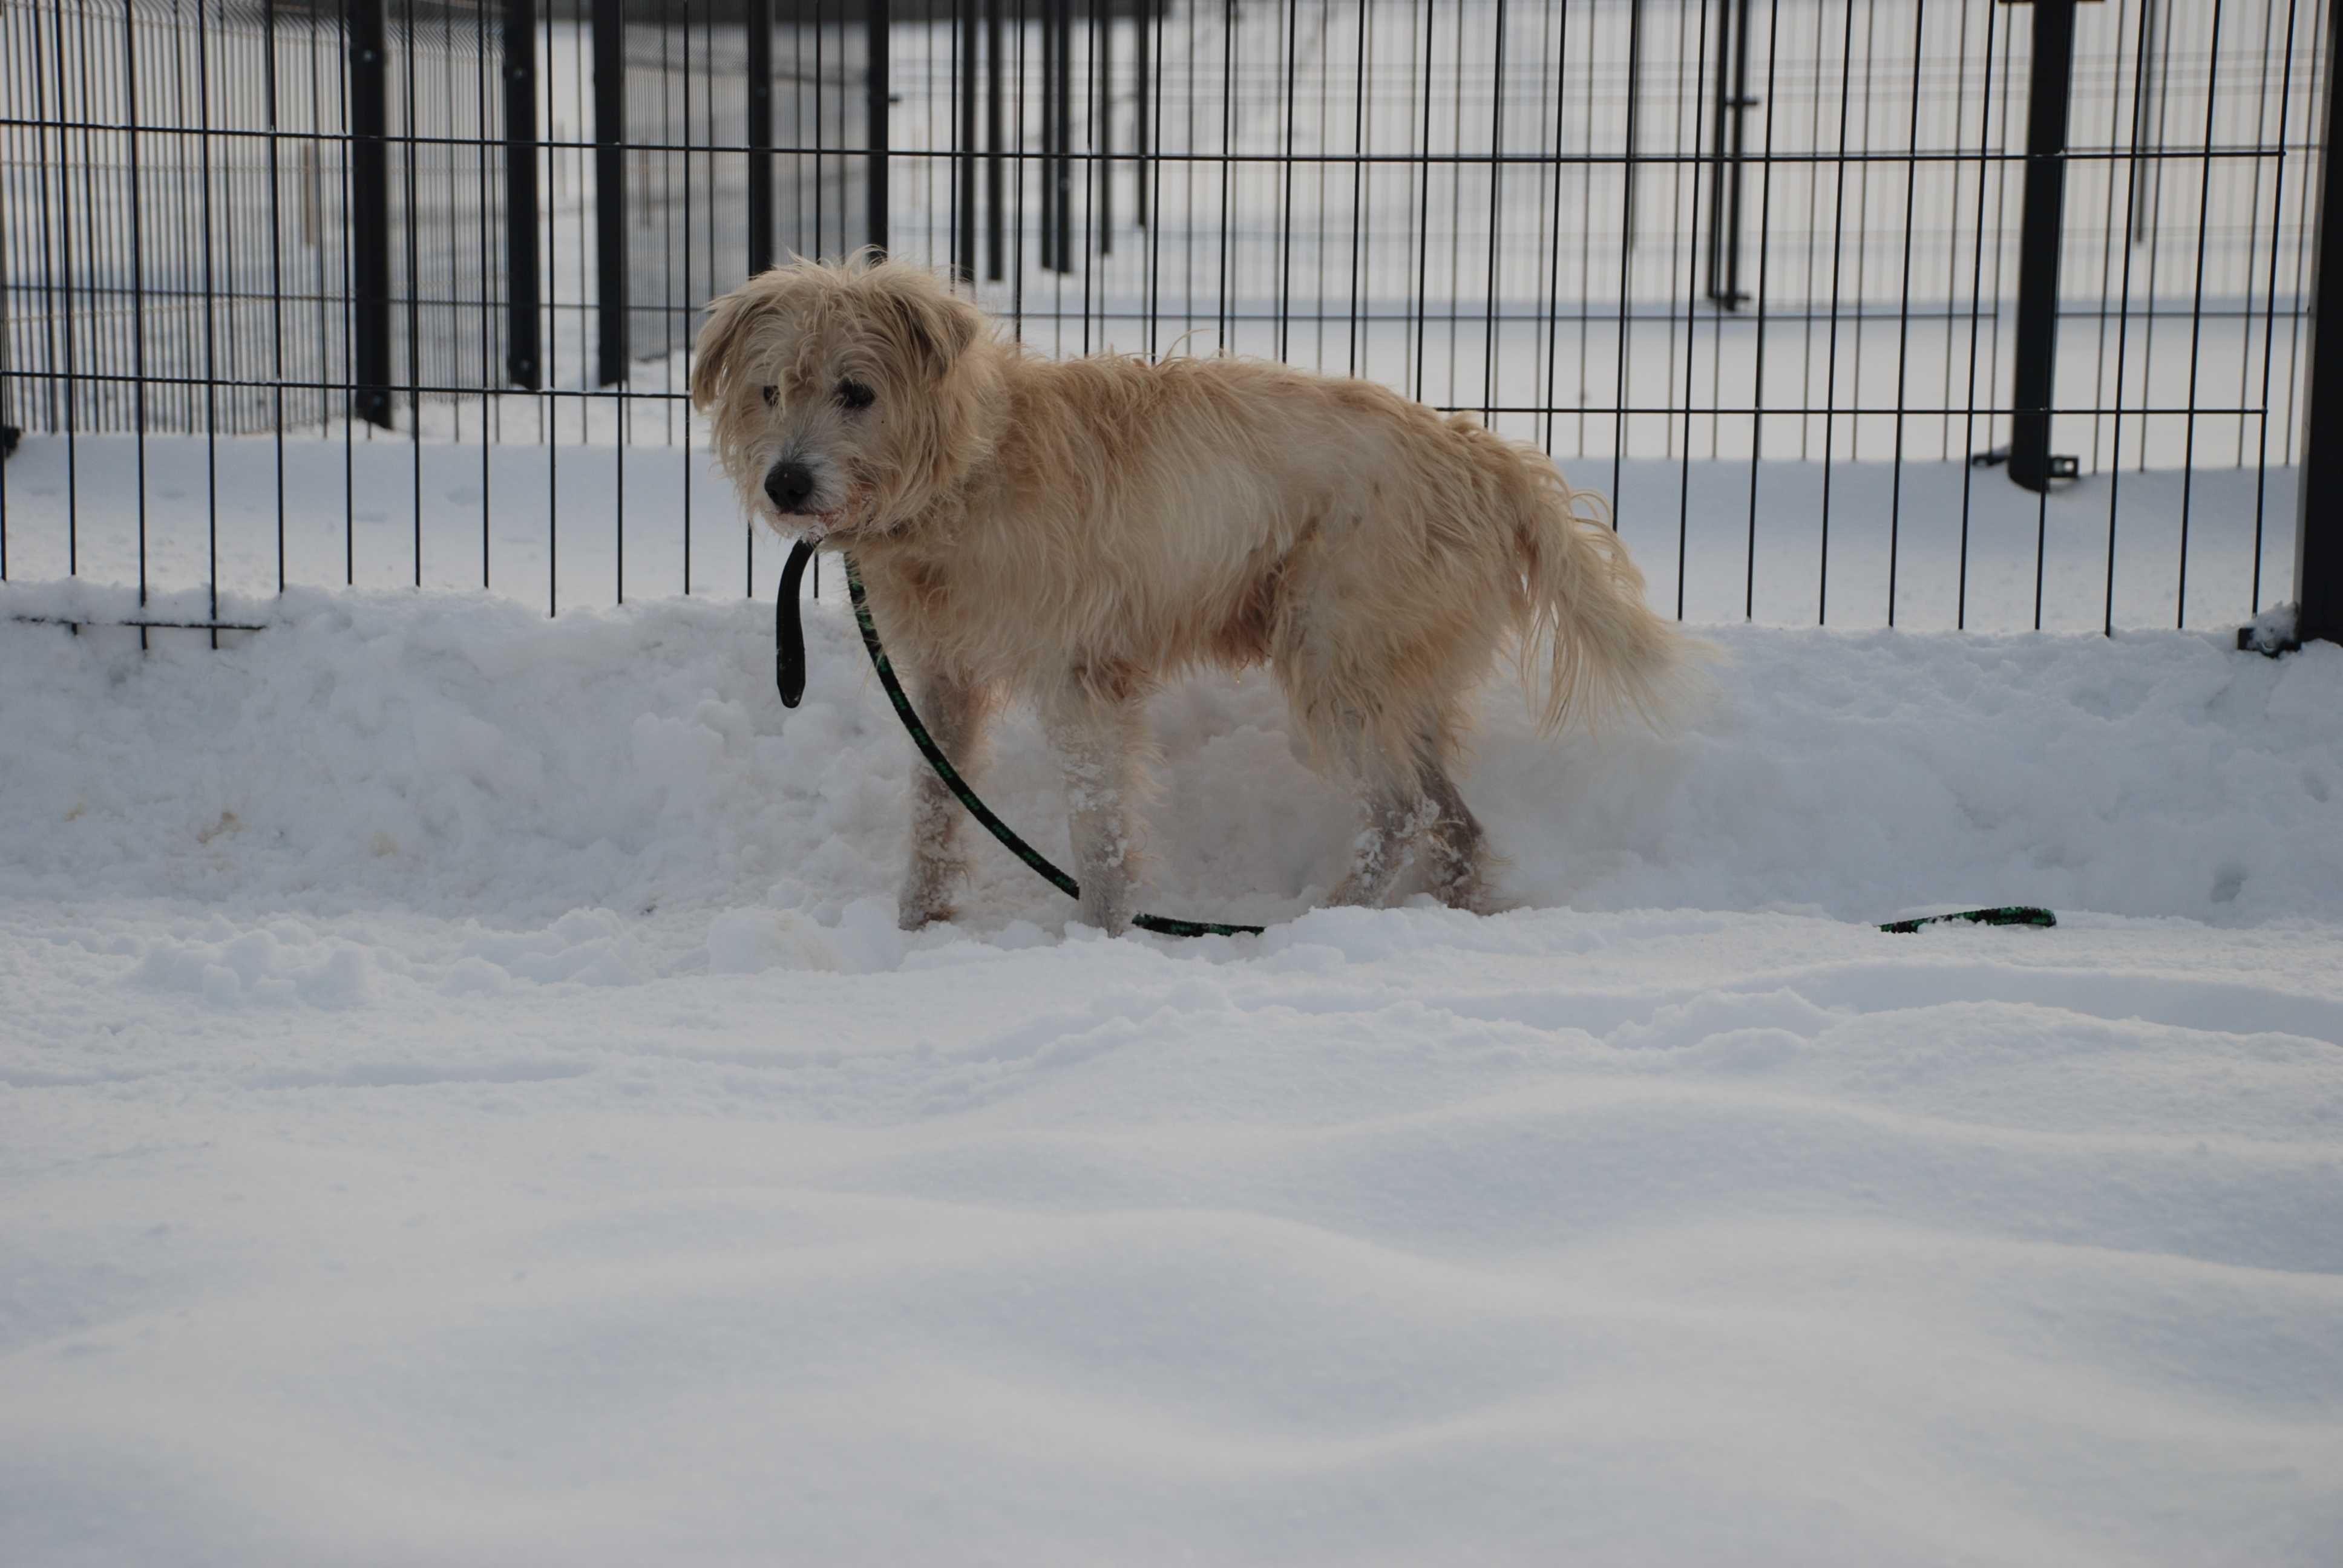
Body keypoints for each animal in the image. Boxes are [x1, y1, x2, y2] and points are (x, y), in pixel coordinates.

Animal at [684, 254, 1696, 928]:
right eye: (770, 391)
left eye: (857, 391)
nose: (785, 484)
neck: (973, 468)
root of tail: (1482, 456)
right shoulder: (943, 682)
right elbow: (935, 812)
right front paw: (915, 931)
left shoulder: (1079, 684)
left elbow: (1097, 833)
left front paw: (1095, 937)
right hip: (1396, 681)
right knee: (1456, 821)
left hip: (1339, 664)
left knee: (1401, 812)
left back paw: (1324, 920)